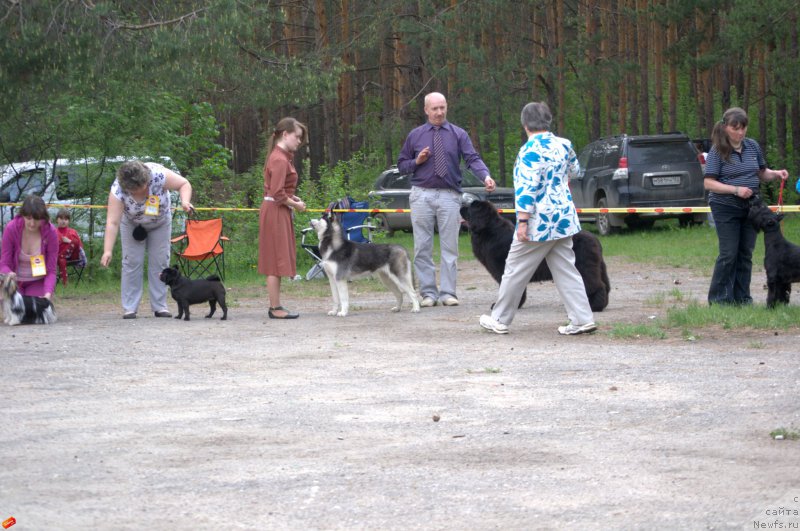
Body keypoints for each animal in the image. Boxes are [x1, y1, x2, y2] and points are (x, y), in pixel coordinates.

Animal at [460, 202, 608, 314]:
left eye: (470, 207)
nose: (461, 205)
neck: (488, 231)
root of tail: (595, 238)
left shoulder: (504, 269)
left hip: (584, 268)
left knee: (596, 286)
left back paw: (595, 306)